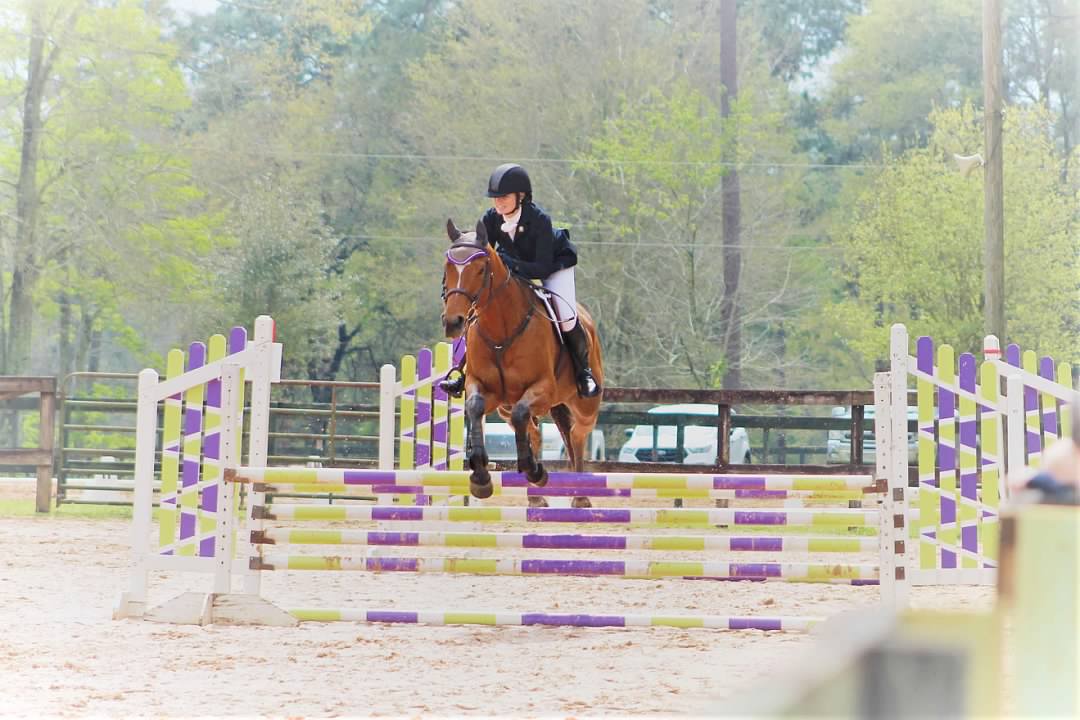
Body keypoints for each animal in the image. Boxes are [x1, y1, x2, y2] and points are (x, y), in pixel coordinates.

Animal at [440, 216, 609, 509]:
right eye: (448, 266)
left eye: (481, 269)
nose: (454, 322)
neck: (501, 329)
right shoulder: (484, 388)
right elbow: (475, 407)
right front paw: (480, 477)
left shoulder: (543, 389)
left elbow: (524, 414)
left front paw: (534, 470)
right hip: (506, 408)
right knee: (534, 430)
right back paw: (537, 496)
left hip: (585, 406)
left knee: (575, 436)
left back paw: (580, 496)